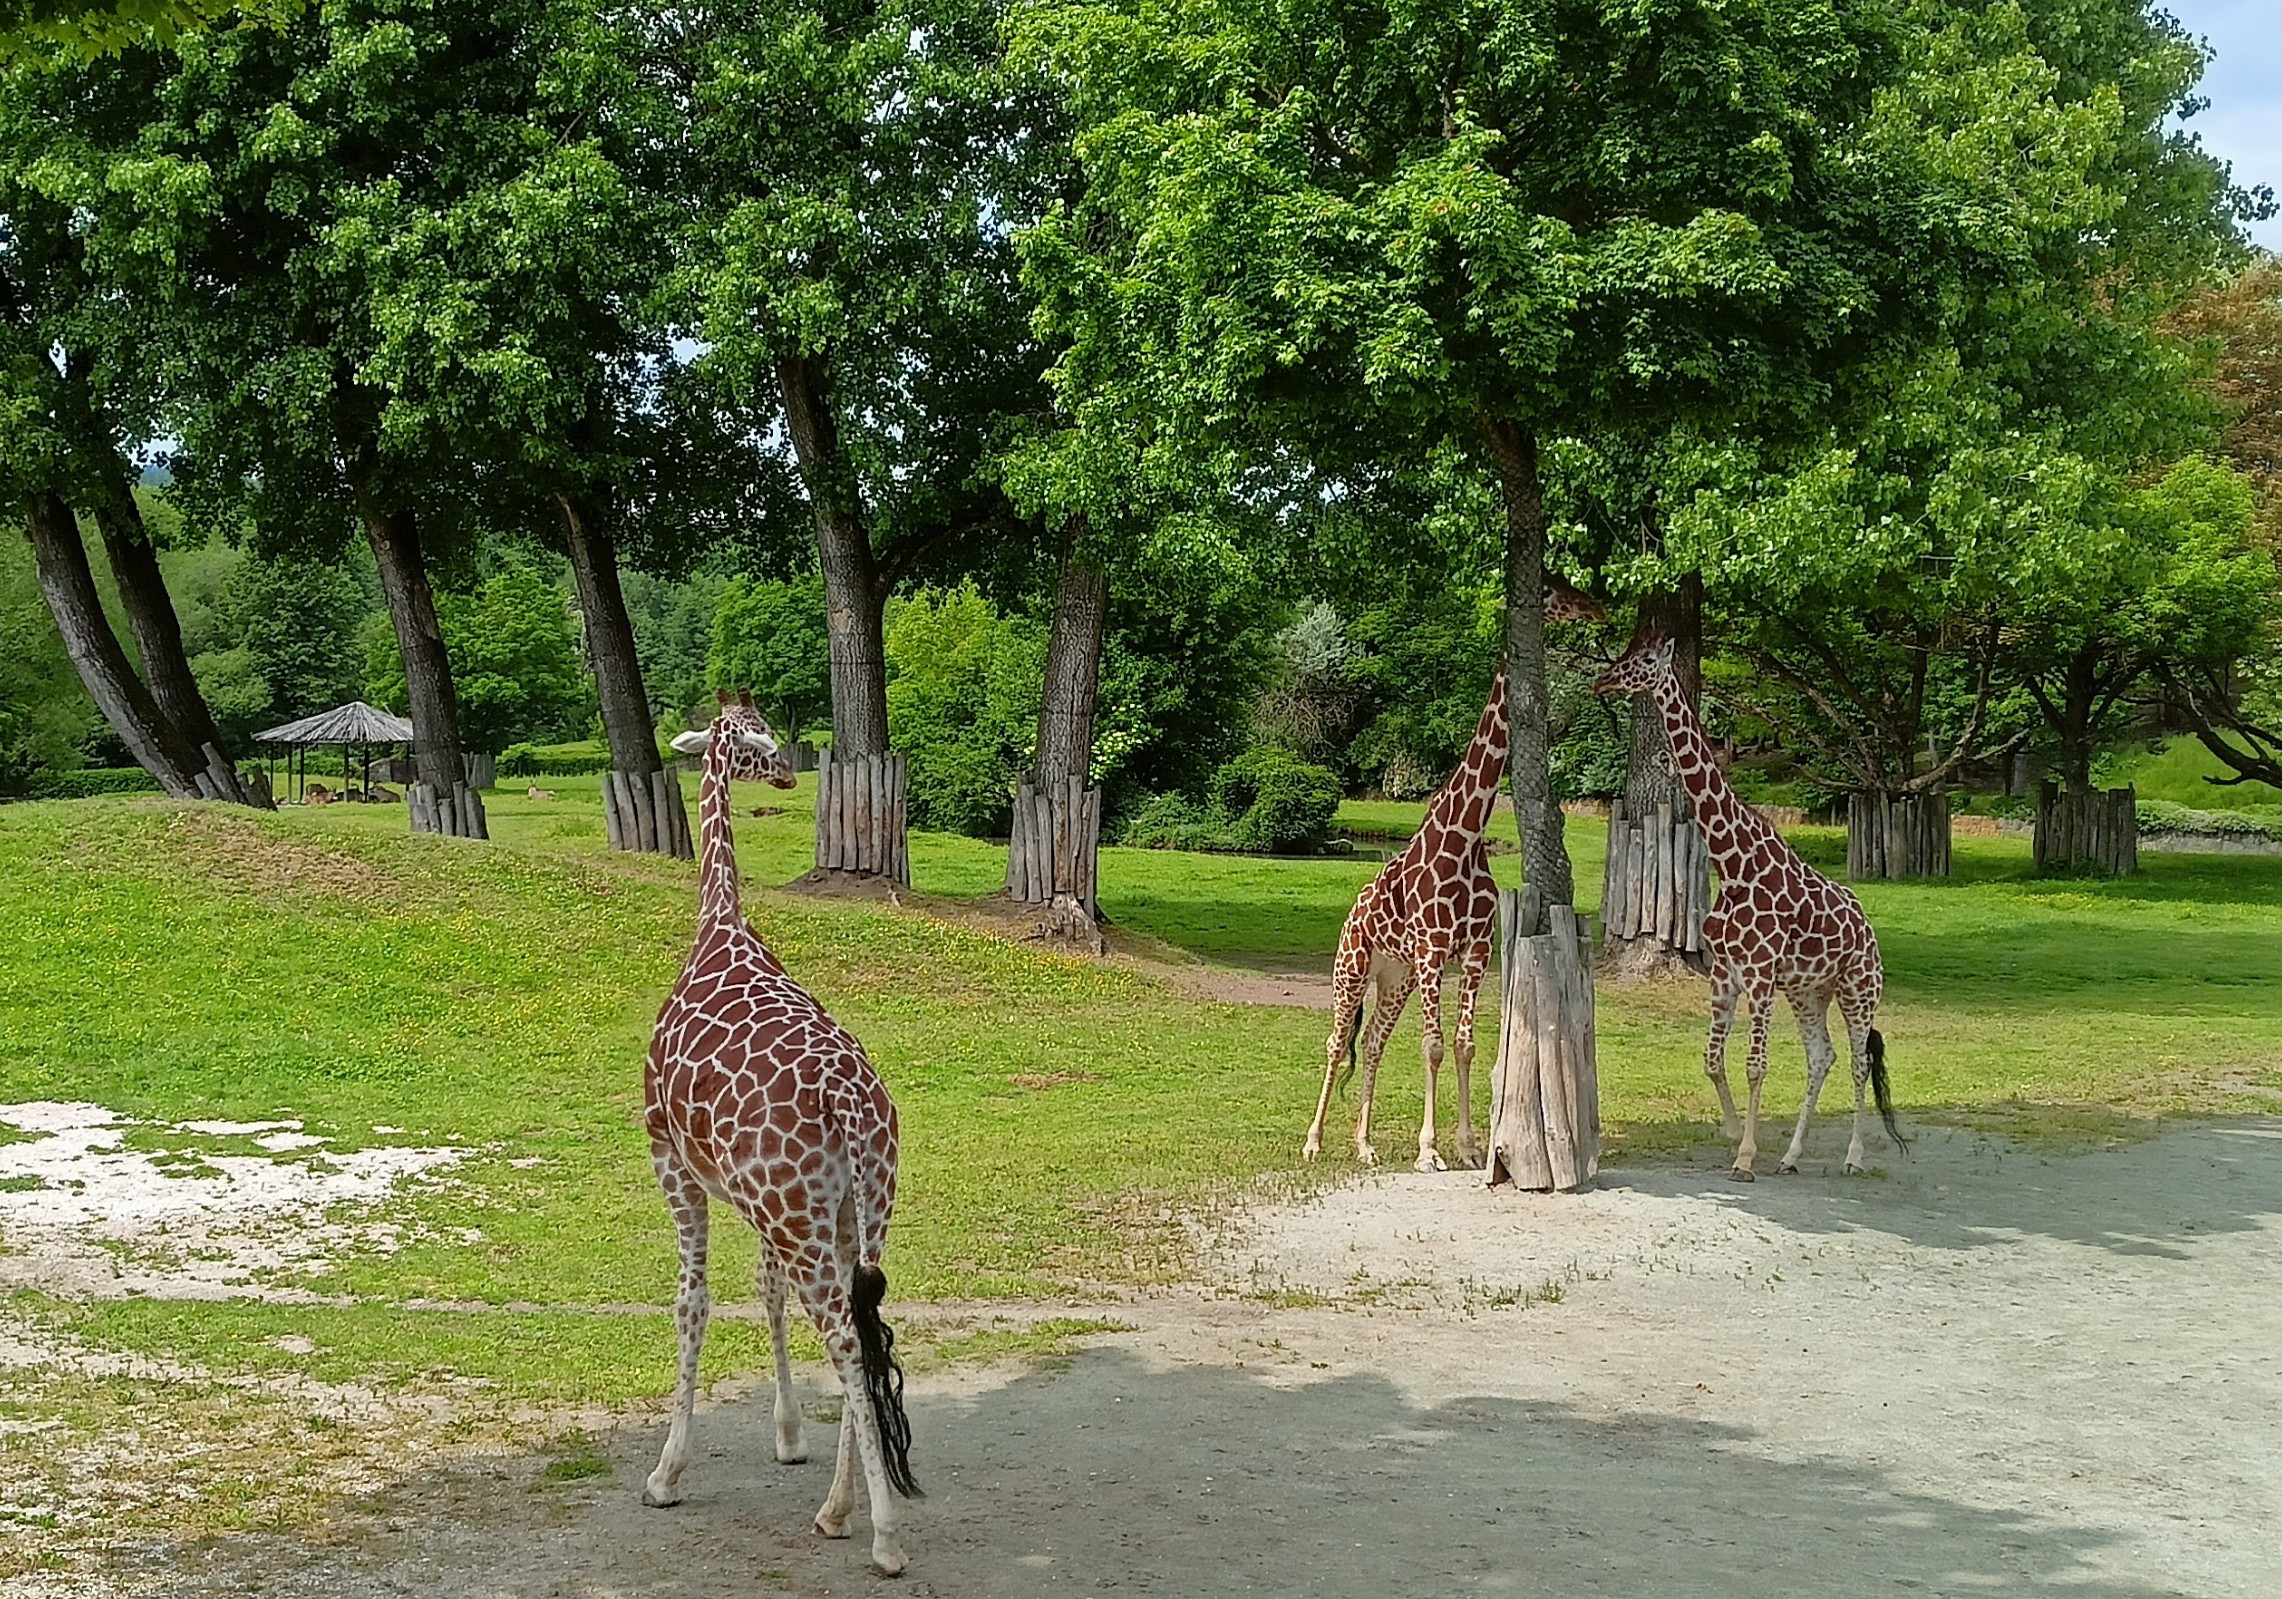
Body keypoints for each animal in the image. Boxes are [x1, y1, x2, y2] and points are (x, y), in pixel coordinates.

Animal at [642, 690, 920, 1576]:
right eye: (757, 737)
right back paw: (836, 1510)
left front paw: (667, 1472)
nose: (788, 771)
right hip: (859, 1209)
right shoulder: (758, 1202)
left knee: (842, 1334)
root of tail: (852, 1106)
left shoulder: (670, 1155)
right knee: (861, 1325)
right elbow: (762, 1292)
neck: (719, 921)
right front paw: (789, 1434)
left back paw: (885, 1536)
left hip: (803, 1216)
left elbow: (692, 1299)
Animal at [1302, 578, 1604, 1173]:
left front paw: (1466, 1146)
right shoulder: (1432, 950)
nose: (1596, 607)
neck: (1465, 837)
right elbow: (1434, 1045)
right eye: (1552, 586)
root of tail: (1351, 913)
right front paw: (1428, 1150)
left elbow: (1463, 1045)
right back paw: (1314, 1140)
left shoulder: (1474, 950)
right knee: (1335, 1042)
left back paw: (1365, 1145)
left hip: (1393, 978)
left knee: (1372, 1042)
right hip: (1352, 969)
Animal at [1593, 632, 1907, 1180]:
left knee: (1858, 1060)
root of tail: (1868, 928)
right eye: (1626, 652)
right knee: (1821, 1056)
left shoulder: (1760, 977)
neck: (1733, 863)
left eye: (1646, 660)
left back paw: (1852, 1157)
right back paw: (1791, 1156)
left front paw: (1744, 1156)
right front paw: (1736, 1133)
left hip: (1859, 988)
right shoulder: (1725, 976)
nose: (1603, 680)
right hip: (1809, 992)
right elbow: (1712, 1059)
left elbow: (1755, 1065)